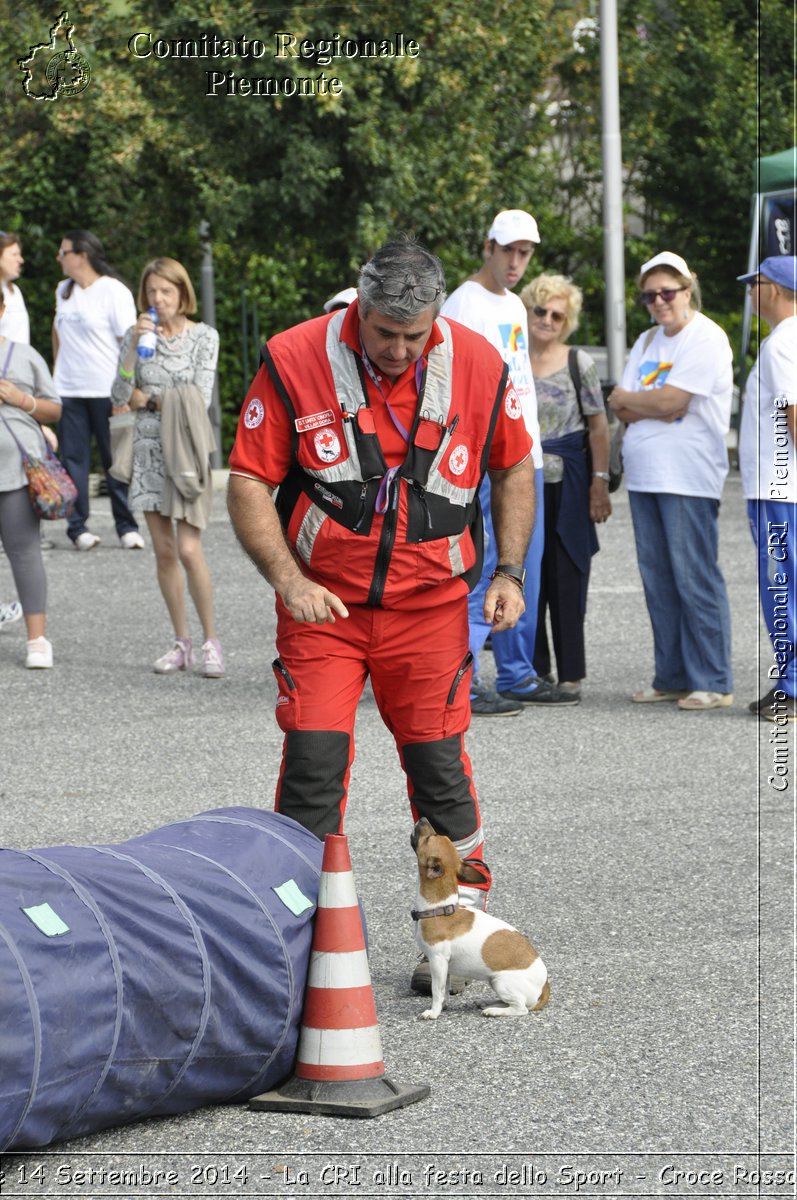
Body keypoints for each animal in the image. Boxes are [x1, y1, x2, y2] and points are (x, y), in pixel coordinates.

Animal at [410, 811, 547, 1017]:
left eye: (429, 838)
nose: (423, 818)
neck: (441, 908)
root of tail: (545, 987)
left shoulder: (438, 961)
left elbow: (436, 990)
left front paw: (433, 1012)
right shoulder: (445, 967)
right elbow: (444, 990)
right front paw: (443, 1006)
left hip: (501, 982)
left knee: (520, 1008)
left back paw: (494, 1011)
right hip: (494, 981)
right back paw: (487, 1002)